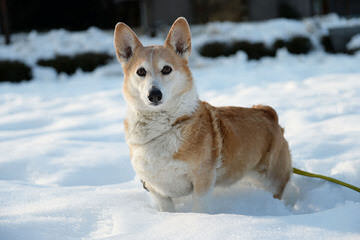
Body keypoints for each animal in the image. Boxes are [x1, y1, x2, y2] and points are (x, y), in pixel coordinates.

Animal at [114, 17, 292, 212]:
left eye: (167, 69)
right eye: (141, 71)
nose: (154, 95)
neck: (163, 126)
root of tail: (268, 113)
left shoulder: (202, 181)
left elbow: (200, 209)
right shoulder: (157, 191)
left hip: (271, 179)